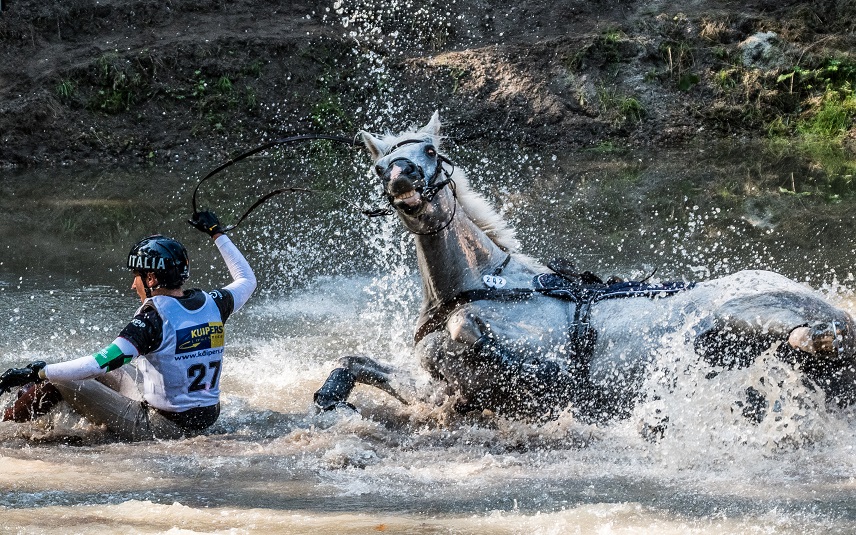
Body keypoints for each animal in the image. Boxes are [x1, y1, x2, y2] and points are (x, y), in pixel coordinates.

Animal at [314, 113, 856, 422]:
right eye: (380, 165)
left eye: (429, 150)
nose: (402, 180)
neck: (482, 285)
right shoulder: (438, 392)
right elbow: (355, 362)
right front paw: (330, 398)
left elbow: (470, 330)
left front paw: (560, 380)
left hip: (736, 312)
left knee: (802, 338)